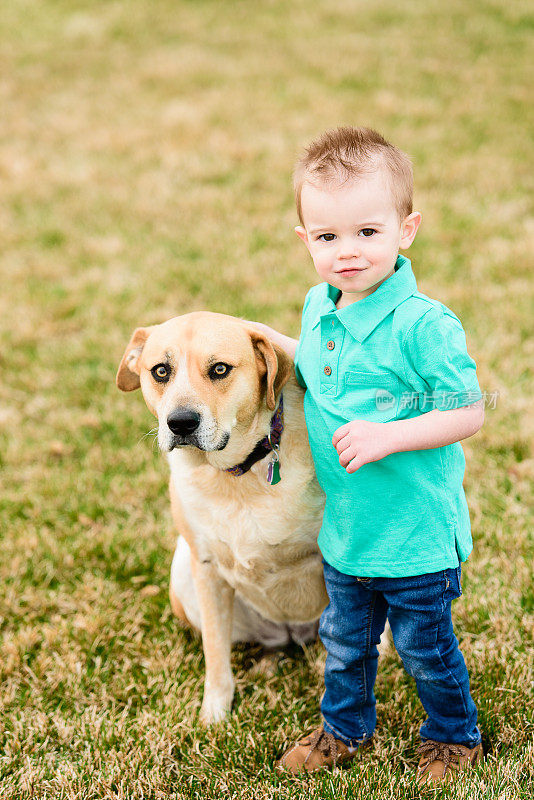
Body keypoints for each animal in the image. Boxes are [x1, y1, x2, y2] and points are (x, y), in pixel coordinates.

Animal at [116, 312, 330, 724]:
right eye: (161, 371)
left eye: (219, 369)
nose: (180, 423)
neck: (239, 473)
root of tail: (291, 633)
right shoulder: (206, 567)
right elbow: (215, 653)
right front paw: (214, 714)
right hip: (182, 574)